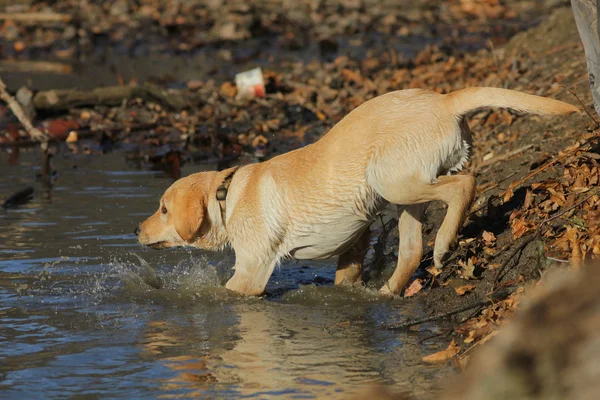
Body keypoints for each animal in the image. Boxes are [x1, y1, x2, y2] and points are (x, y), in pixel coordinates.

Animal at [135, 87, 576, 296]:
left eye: (163, 209)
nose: (136, 230)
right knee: (411, 250)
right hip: (402, 196)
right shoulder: (352, 244)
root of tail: (444, 100)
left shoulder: (251, 273)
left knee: (463, 186)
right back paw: (388, 292)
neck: (227, 196)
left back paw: (445, 243)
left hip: (395, 180)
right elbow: (348, 274)